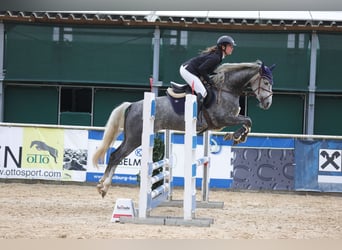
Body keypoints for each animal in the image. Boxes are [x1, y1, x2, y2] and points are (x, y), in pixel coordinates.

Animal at [92, 60, 274, 197]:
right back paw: (103, 186)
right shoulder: (223, 119)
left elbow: (247, 122)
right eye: (266, 82)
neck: (227, 89)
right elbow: (248, 120)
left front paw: (238, 136)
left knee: (115, 155)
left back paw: (102, 184)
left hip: (132, 137)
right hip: (135, 138)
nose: (267, 104)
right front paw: (236, 136)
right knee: (116, 155)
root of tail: (132, 105)